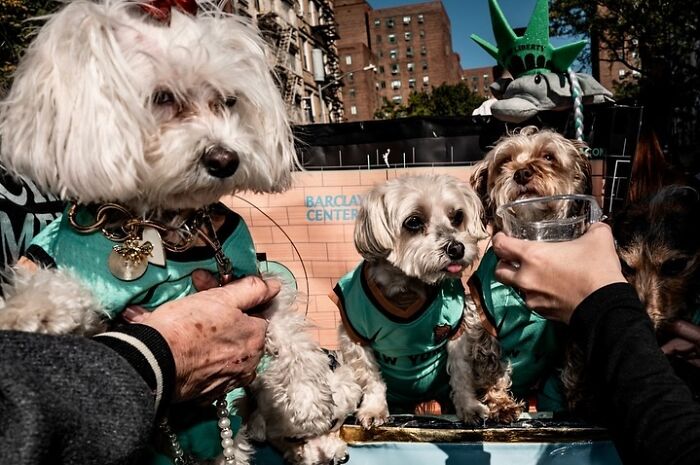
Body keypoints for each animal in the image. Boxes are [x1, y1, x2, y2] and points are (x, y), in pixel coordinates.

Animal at [0, 1, 358, 462]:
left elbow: (289, 330)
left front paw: (306, 398)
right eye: (163, 98)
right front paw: (27, 313)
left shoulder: (252, 280)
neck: (170, 228)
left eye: (228, 101)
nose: (225, 159)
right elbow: (58, 290)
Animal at [332, 175, 520, 428]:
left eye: (457, 216)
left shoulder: (458, 332)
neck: (406, 287)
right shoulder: (354, 335)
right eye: (413, 222)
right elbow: (371, 378)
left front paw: (469, 407)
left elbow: (461, 374)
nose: (457, 248)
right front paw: (373, 409)